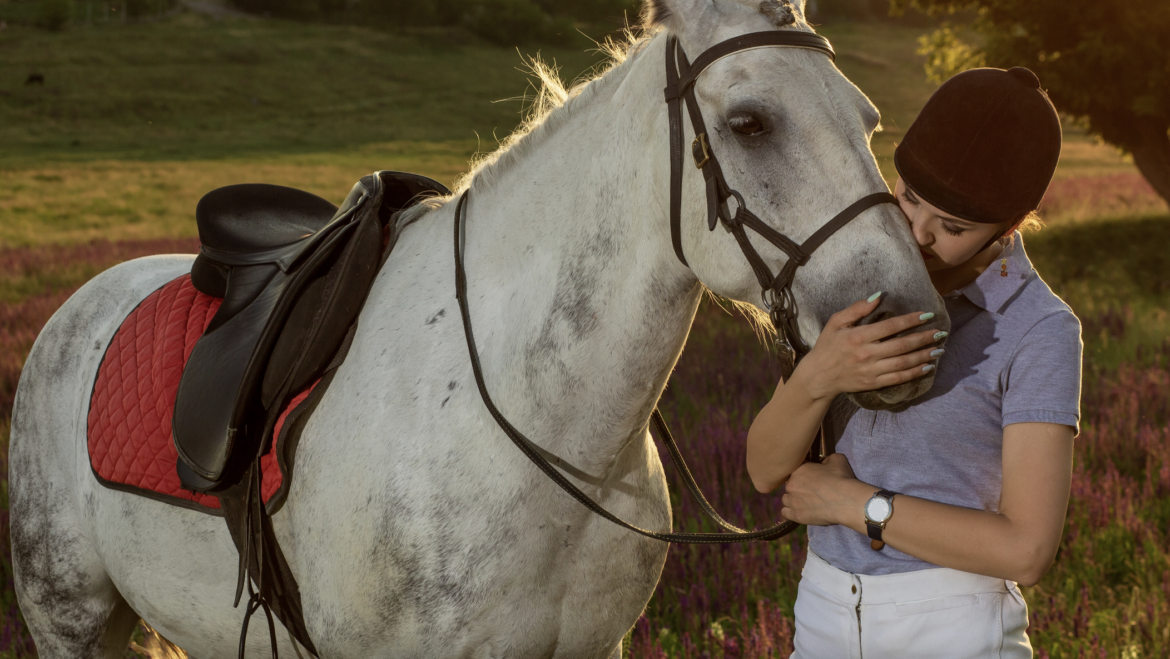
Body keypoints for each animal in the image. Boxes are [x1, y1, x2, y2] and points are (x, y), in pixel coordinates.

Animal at [9, 0, 949, 656]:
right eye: (750, 122)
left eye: (867, 118)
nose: (915, 331)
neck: (539, 431)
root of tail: (76, 308)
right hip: (69, 619)